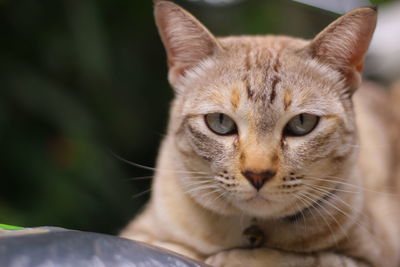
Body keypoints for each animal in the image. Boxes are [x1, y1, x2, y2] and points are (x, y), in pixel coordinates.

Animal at [120, 1, 400, 266]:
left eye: (302, 123)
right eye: (220, 122)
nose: (257, 175)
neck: (252, 231)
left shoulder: (374, 257)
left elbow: (300, 258)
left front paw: (230, 258)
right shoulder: (140, 233)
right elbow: (174, 246)